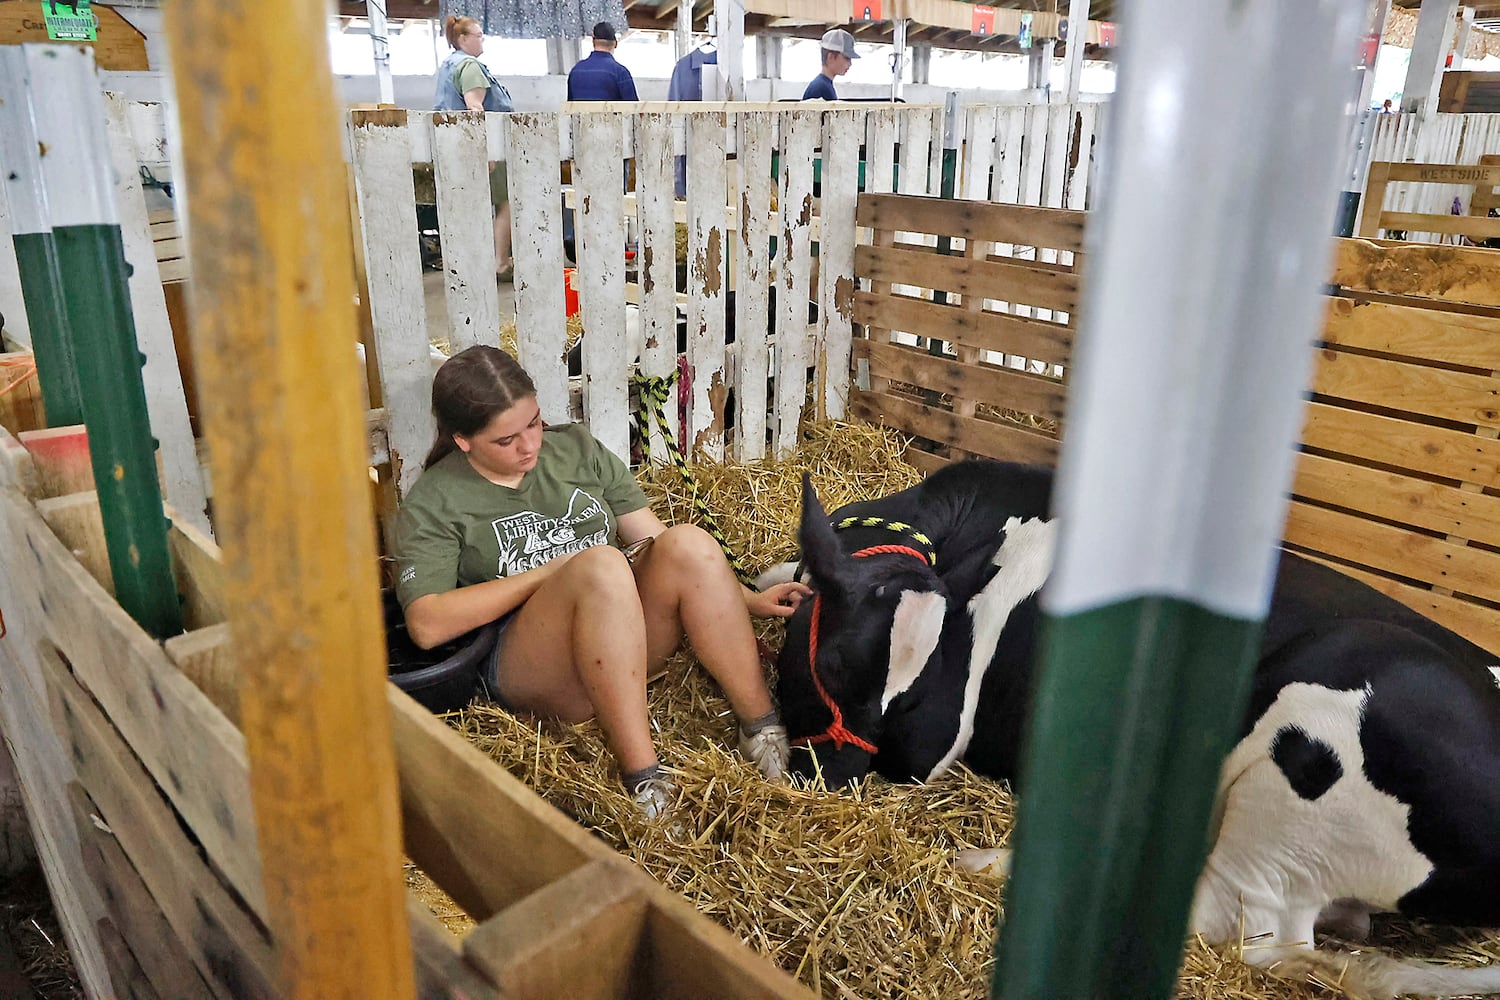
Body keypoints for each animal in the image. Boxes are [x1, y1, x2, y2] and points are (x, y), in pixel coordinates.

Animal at [768, 461, 1500, 1000]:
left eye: (910, 699)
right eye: (834, 664)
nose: (826, 781)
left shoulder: (940, 730)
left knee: (1232, 920)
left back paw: (988, 862)